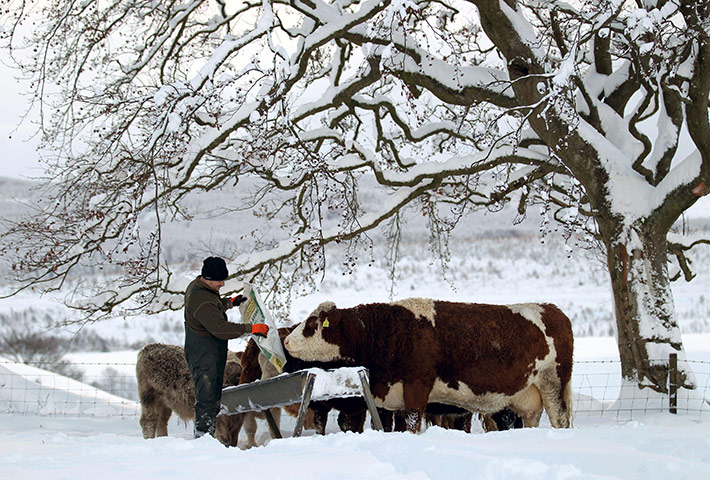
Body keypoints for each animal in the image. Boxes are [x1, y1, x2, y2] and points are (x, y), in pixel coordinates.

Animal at [283, 299, 573, 432]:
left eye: (311, 324)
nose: (286, 340)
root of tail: (551, 309)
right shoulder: (395, 399)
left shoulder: (416, 387)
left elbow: (413, 425)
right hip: (527, 399)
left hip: (553, 385)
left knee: (559, 419)